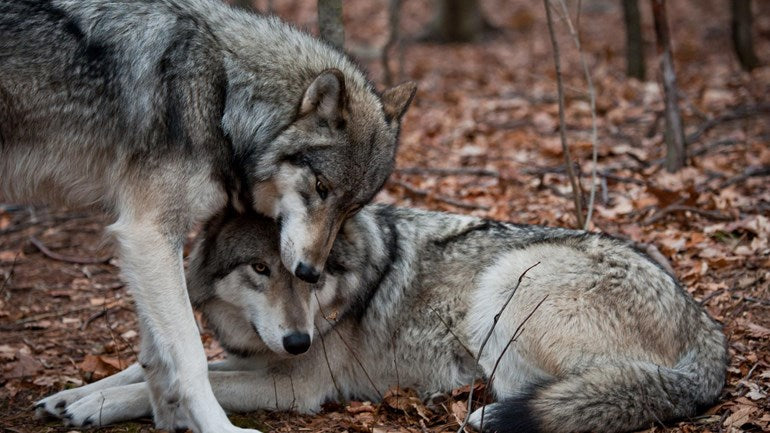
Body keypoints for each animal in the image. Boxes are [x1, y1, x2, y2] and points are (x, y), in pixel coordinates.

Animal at [0, 1, 414, 430]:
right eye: (320, 187)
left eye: (353, 207)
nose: (310, 272)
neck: (223, 95)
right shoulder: (148, 231)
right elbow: (191, 357)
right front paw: (216, 426)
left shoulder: (148, 241)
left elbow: (154, 356)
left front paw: (160, 416)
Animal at [36, 204, 728, 430]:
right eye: (260, 269)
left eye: (309, 272)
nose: (297, 339)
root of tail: (708, 330)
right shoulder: (258, 358)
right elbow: (151, 368)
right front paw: (73, 395)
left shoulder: (297, 385)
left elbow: (189, 381)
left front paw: (95, 408)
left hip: (505, 287)